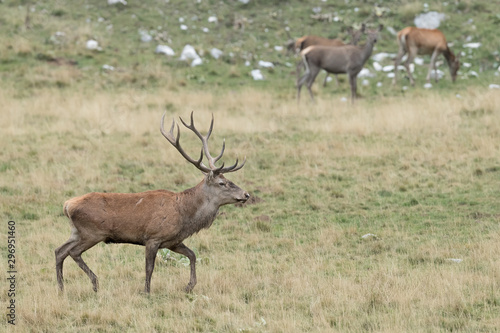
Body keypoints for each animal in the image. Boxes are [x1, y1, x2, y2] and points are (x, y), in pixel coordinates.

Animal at [55, 111, 250, 294]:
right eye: (222, 183)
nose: (246, 194)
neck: (185, 215)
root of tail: (67, 205)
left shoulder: (173, 241)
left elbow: (193, 255)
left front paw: (189, 286)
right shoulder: (153, 237)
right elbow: (149, 268)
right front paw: (147, 291)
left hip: (77, 232)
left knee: (59, 251)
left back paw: (61, 288)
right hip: (93, 232)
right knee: (73, 252)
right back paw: (95, 283)